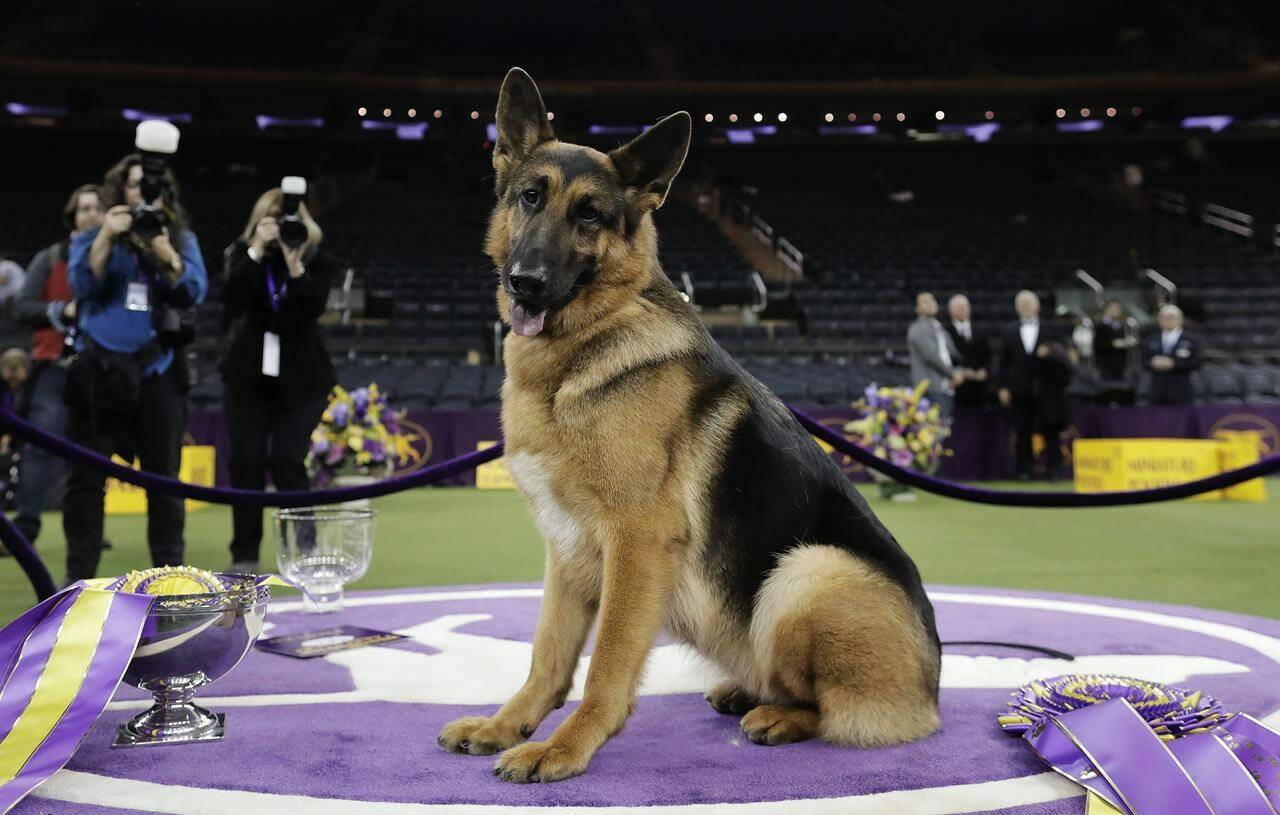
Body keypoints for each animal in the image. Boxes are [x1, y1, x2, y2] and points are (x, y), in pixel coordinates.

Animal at [440, 66, 942, 777]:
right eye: (530, 198)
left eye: (589, 214)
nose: (525, 283)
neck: (588, 346)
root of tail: (932, 690)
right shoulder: (565, 549)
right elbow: (547, 655)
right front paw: (508, 726)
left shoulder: (637, 542)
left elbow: (607, 664)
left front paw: (566, 746)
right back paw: (746, 692)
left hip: (806, 572)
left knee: (829, 707)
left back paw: (778, 716)